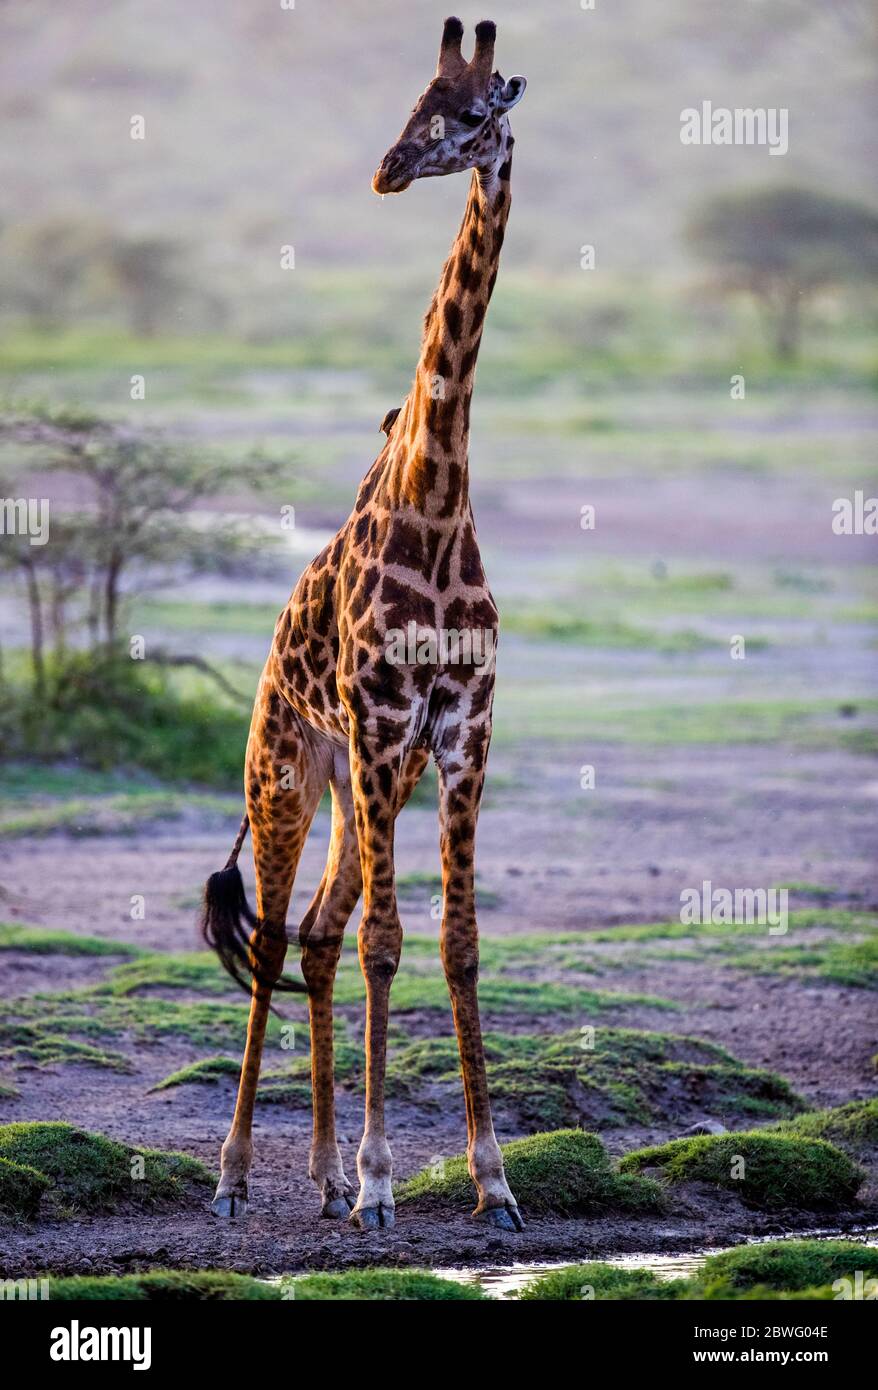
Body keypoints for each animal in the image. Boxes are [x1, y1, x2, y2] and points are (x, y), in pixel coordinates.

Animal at [201, 16, 525, 1234]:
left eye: (471, 115)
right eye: (410, 104)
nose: (387, 170)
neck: (437, 499)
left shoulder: (461, 732)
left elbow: (457, 944)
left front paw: (491, 1178)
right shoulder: (389, 728)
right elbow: (394, 944)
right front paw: (389, 1180)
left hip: (351, 791)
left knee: (319, 932)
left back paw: (323, 1171)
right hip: (289, 774)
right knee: (277, 933)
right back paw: (238, 1174)